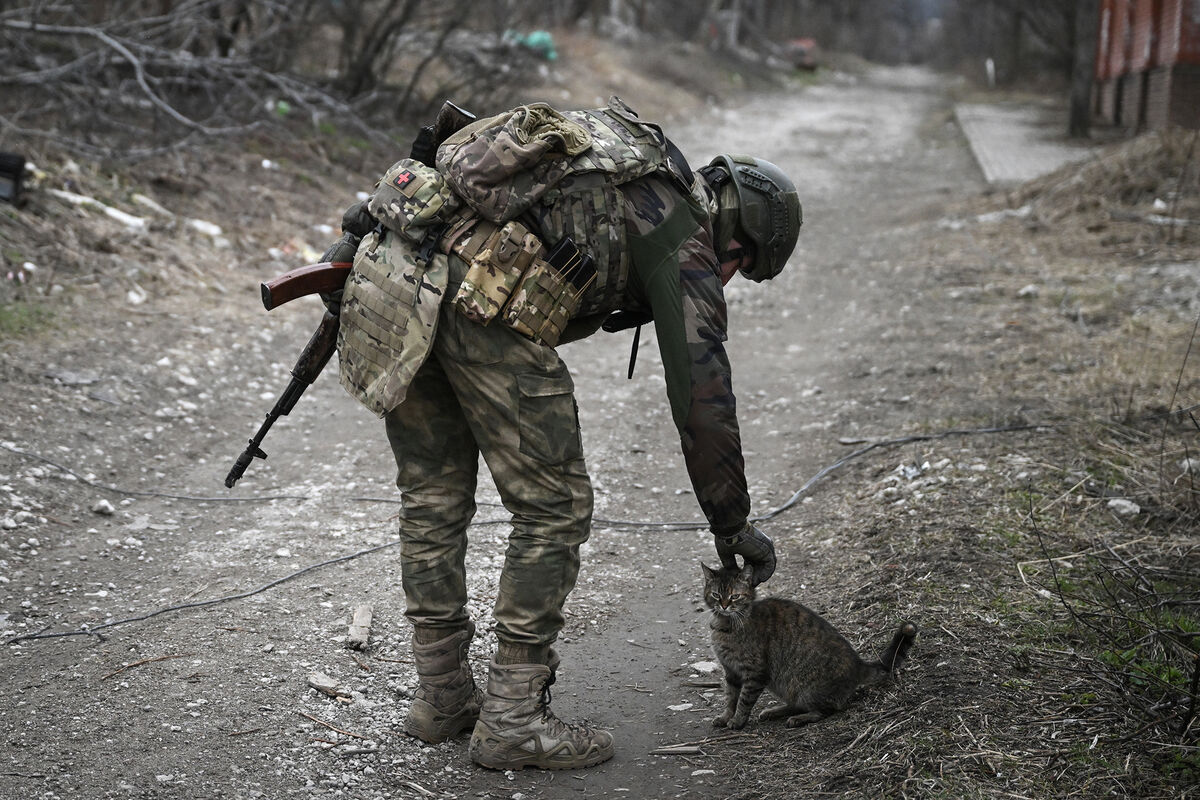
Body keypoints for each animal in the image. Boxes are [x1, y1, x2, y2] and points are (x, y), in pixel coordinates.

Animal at [700, 563, 912, 734]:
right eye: (716, 595)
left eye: (734, 596)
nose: (724, 606)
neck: (725, 625)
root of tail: (858, 664)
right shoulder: (731, 671)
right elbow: (730, 698)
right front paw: (726, 716)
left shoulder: (755, 673)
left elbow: (743, 700)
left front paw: (737, 720)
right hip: (787, 686)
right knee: (797, 704)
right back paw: (775, 711)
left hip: (806, 687)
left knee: (825, 710)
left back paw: (798, 718)